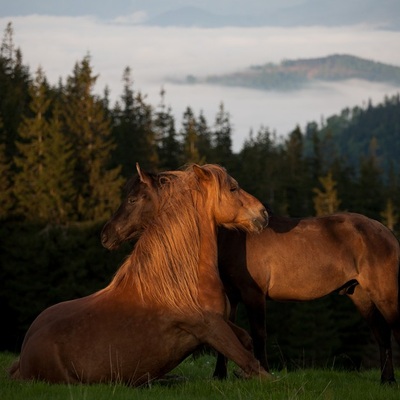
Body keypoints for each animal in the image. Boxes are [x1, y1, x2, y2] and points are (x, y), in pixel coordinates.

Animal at [9, 164, 270, 386]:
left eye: (133, 199)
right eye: (233, 188)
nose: (263, 213)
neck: (179, 282)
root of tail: (23, 358)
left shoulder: (222, 321)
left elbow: (247, 340)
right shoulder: (211, 328)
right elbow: (254, 365)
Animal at [102, 167, 400, 382]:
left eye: (132, 199)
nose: (106, 235)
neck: (230, 239)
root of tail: (387, 232)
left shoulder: (253, 295)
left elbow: (259, 335)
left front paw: (262, 372)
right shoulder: (232, 296)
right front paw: (220, 375)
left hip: (384, 294)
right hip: (360, 295)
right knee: (382, 336)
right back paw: (386, 380)